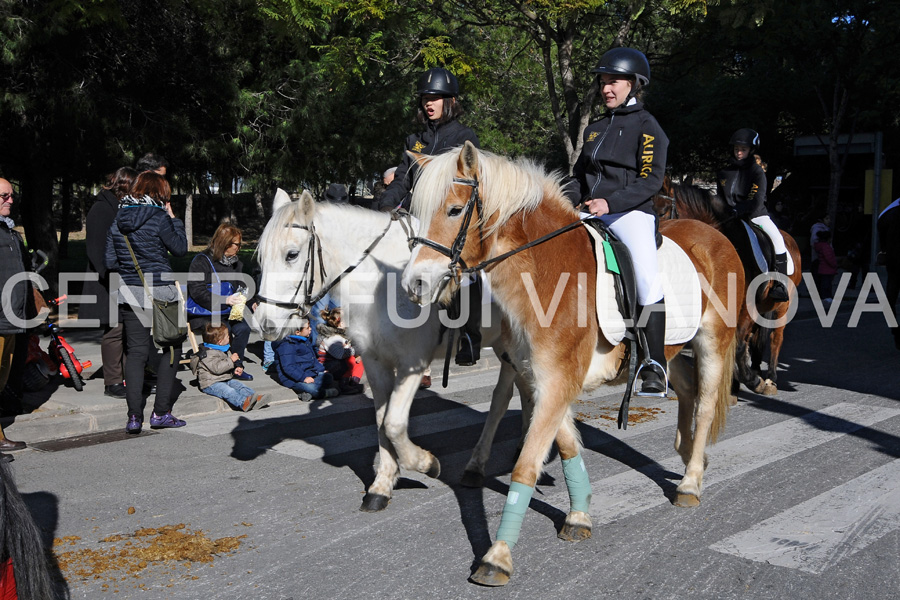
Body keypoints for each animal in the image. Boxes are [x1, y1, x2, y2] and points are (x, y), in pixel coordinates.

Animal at [253, 191, 536, 506]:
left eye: (291, 254)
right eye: (262, 257)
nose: (264, 323)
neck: (380, 284)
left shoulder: (413, 362)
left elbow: (394, 423)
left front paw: (426, 463)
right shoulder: (375, 362)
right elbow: (381, 419)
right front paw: (383, 483)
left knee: (502, 398)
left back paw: (479, 464)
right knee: (526, 390)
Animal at [404, 143, 740, 588]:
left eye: (455, 210)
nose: (415, 284)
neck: (545, 272)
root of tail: (714, 234)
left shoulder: (556, 381)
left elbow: (527, 465)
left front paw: (497, 555)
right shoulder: (539, 377)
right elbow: (565, 446)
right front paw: (579, 514)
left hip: (712, 343)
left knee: (703, 407)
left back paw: (691, 482)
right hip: (672, 349)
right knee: (683, 389)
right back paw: (687, 454)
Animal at [652, 178, 800, 394]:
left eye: (662, 213)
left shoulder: (746, 307)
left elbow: (738, 345)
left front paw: (752, 381)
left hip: (782, 305)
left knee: (775, 338)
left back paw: (770, 378)